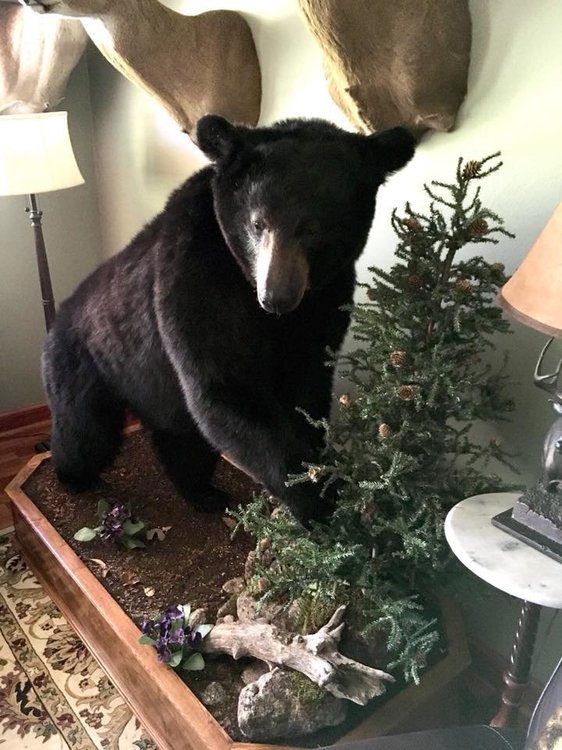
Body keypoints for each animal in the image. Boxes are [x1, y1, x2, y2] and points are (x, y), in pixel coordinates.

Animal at [42, 115, 415, 524]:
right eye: (258, 223)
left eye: (313, 227)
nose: (276, 297)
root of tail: (59, 317)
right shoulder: (195, 274)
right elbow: (224, 387)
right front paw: (320, 503)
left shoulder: (326, 301)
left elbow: (308, 387)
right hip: (86, 364)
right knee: (85, 431)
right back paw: (75, 478)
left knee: (181, 438)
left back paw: (204, 492)